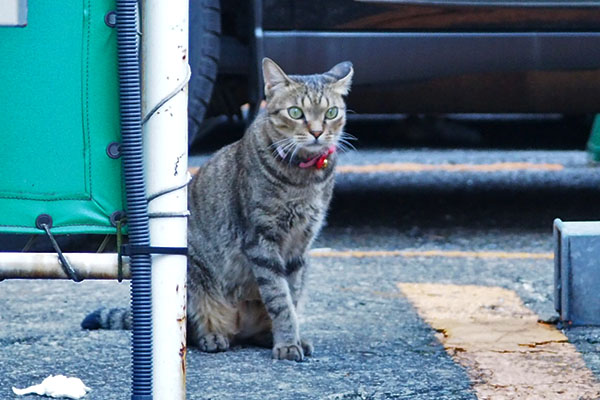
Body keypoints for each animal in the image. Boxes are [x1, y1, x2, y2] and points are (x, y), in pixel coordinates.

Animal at [81, 59, 352, 362]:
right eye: (296, 112)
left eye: (331, 112)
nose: (317, 132)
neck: (303, 179)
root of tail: (240, 326)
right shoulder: (261, 239)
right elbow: (279, 299)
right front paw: (286, 343)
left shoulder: (299, 247)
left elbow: (290, 297)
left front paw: (288, 338)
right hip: (192, 273)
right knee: (192, 329)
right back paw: (213, 336)